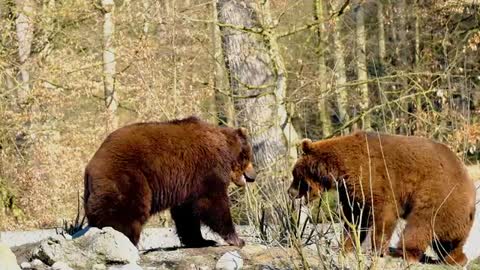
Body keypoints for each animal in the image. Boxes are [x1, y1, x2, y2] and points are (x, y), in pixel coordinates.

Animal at [83, 115, 255, 247]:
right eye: (247, 156)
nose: (252, 177)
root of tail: (90, 166)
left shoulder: (188, 181)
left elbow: (186, 212)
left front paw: (201, 240)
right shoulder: (207, 169)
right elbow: (212, 202)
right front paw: (237, 239)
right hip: (128, 177)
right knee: (126, 212)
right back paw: (126, 241)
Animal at [286, 131, 474, 266]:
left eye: (295, 174)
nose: (290, 192)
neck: (341, 169)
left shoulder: (376, 177)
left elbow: (383, 214)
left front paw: (378, 249)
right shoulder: (352, 191)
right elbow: (354, 218)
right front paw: (346, 245)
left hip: (436, 193)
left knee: (421, 224)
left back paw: (403, 252)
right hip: (453, 213)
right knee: (448, 241)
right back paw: (455, 258)